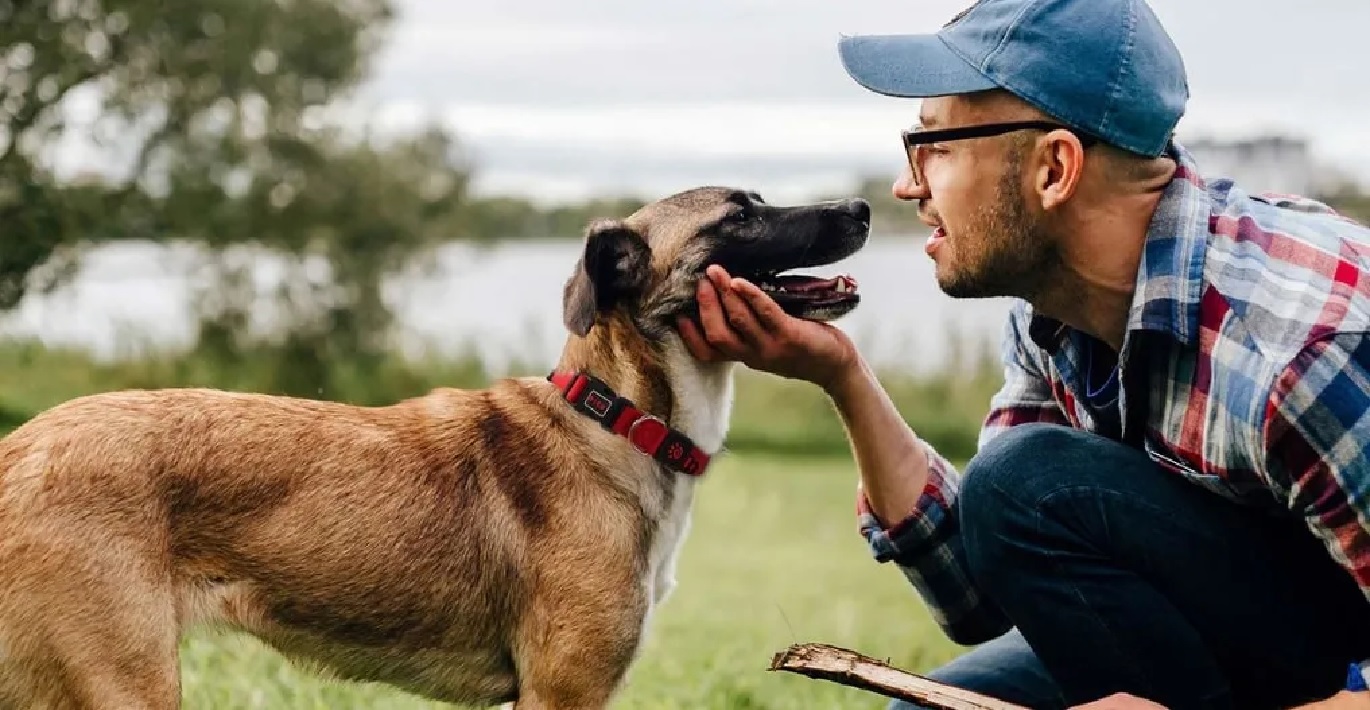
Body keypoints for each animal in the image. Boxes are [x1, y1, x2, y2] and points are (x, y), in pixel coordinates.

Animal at [0, 186, 865, 707]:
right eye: (741, 216)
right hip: (124, 679)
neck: (616, 418)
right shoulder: (563, 689)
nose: (860, 206)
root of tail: (21, 449)